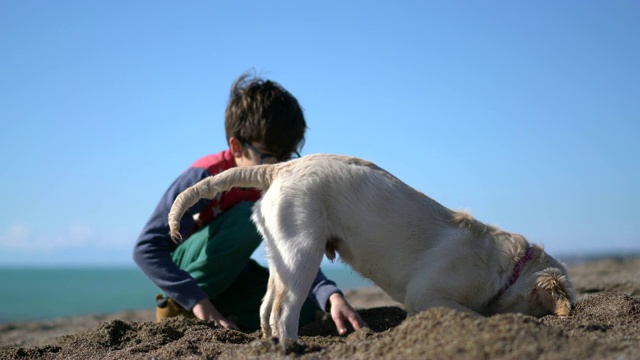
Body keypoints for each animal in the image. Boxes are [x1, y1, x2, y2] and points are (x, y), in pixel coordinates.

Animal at [168, 154, 572, 340]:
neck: (508, 268)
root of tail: (280, 168)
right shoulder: (425, 294)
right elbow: (472, 313)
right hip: (303, 252)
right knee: (284, 312)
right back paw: (293, 347)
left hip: (280, 255)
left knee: (267, 309)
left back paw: (269, 345)